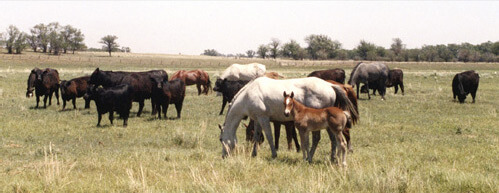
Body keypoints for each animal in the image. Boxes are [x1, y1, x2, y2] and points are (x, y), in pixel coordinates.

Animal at [220, 76, 360, 159]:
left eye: (221, 139)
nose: (224, 156)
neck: (248, 94)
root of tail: (329, 85)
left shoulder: (264, 118)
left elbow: (270, 137)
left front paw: (274, 154)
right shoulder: (257, 119)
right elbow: (256, 136)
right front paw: (254, 154)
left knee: (326, 138)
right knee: (331, 139)